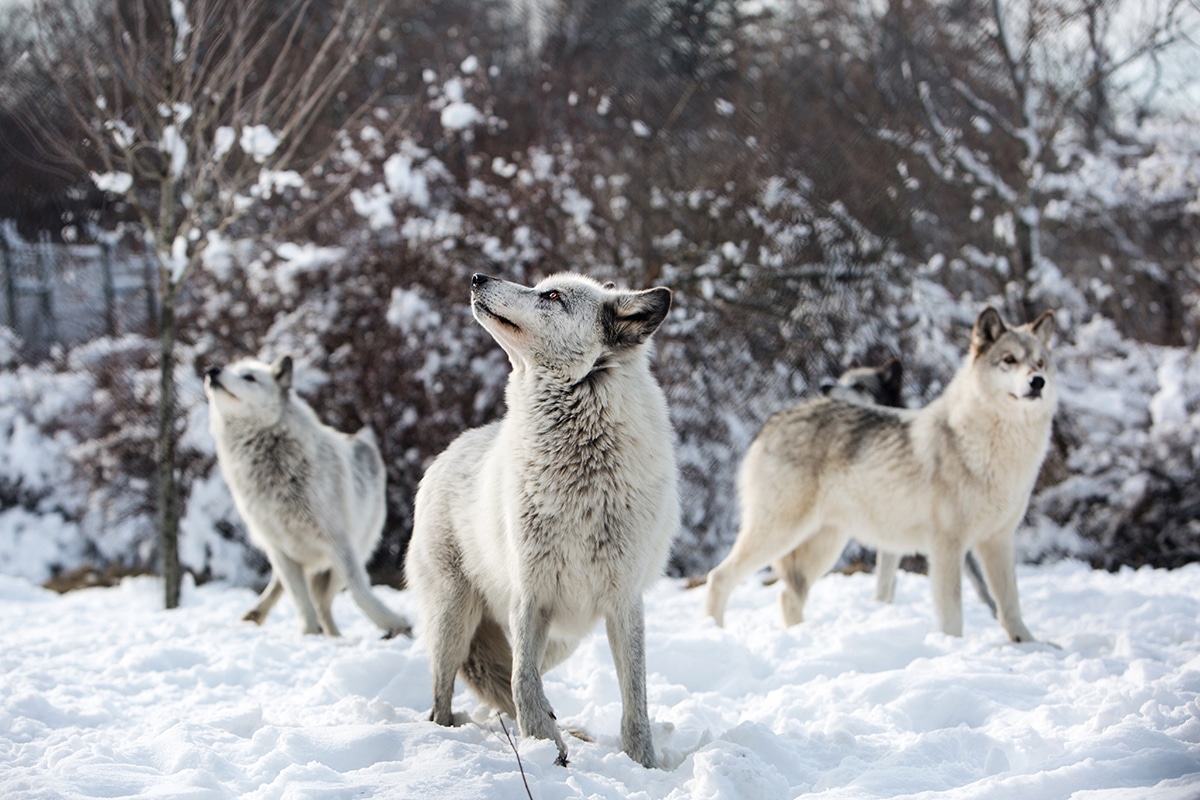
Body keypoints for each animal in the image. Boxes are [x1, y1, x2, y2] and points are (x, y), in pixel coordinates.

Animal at [204, 357, 410, 638]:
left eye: (249, 377)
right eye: (228, 368)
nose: (212, 371)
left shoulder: (339, 544)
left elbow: (359, 591)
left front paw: (393, 623)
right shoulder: (279, 548)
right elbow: (301, 600)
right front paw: (309, 635)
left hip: (350, 553)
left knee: (324, 600)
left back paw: (333, 635)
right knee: (300, 592)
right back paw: (261, 614)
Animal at [408, 272, 681, 767]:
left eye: (552, 296)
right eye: (540, 286)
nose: (476, 277)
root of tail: (449, 451)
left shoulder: (624, 603)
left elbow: (636, 699)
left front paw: (642, 763)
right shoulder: (530, 595)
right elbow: (523, 682)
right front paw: (546, 746)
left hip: (562, 639)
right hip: (454, 616)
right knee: (445, 698)